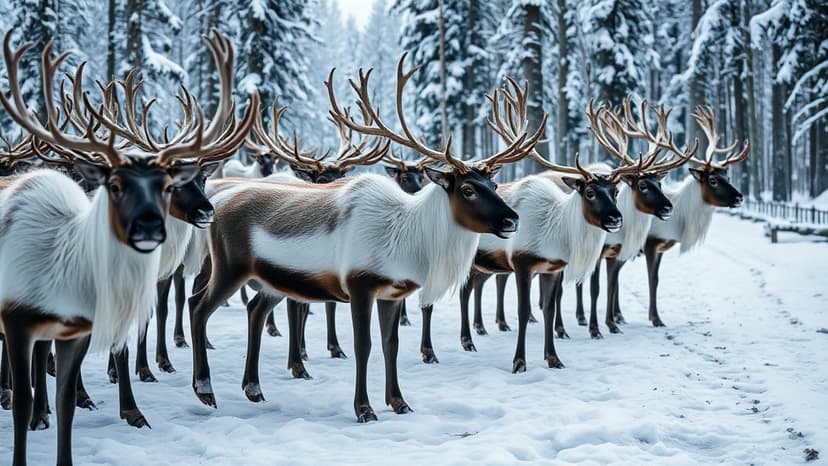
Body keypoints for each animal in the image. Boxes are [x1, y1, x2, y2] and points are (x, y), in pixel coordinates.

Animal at [0, 28, 257, 466]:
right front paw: (117, 401)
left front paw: (142, 380)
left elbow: (145, 322)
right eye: (118, 185)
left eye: (198, 178)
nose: (208, 211)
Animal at [187, 53, 543, 422]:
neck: (411, 242)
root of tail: (218, 205)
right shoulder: (359, 284)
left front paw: (399, 402)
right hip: (230, 266)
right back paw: (205, 389)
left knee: (255, 309)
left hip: (272, 279)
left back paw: (253, 388)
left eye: (495, 184)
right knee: (197, 304)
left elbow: (391, 344)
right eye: (468, 189)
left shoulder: (393, 292)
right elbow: (364, 345)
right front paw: (364, 408)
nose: (512, 219)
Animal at [643, 105, 748, 327]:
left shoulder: (661, 247)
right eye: (713, 180)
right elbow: (652, 279)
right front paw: (656, 319)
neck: (679, 221)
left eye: (727, 176)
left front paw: (653, 316)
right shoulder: (650, 243)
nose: (739, 197)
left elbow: (657, 279)